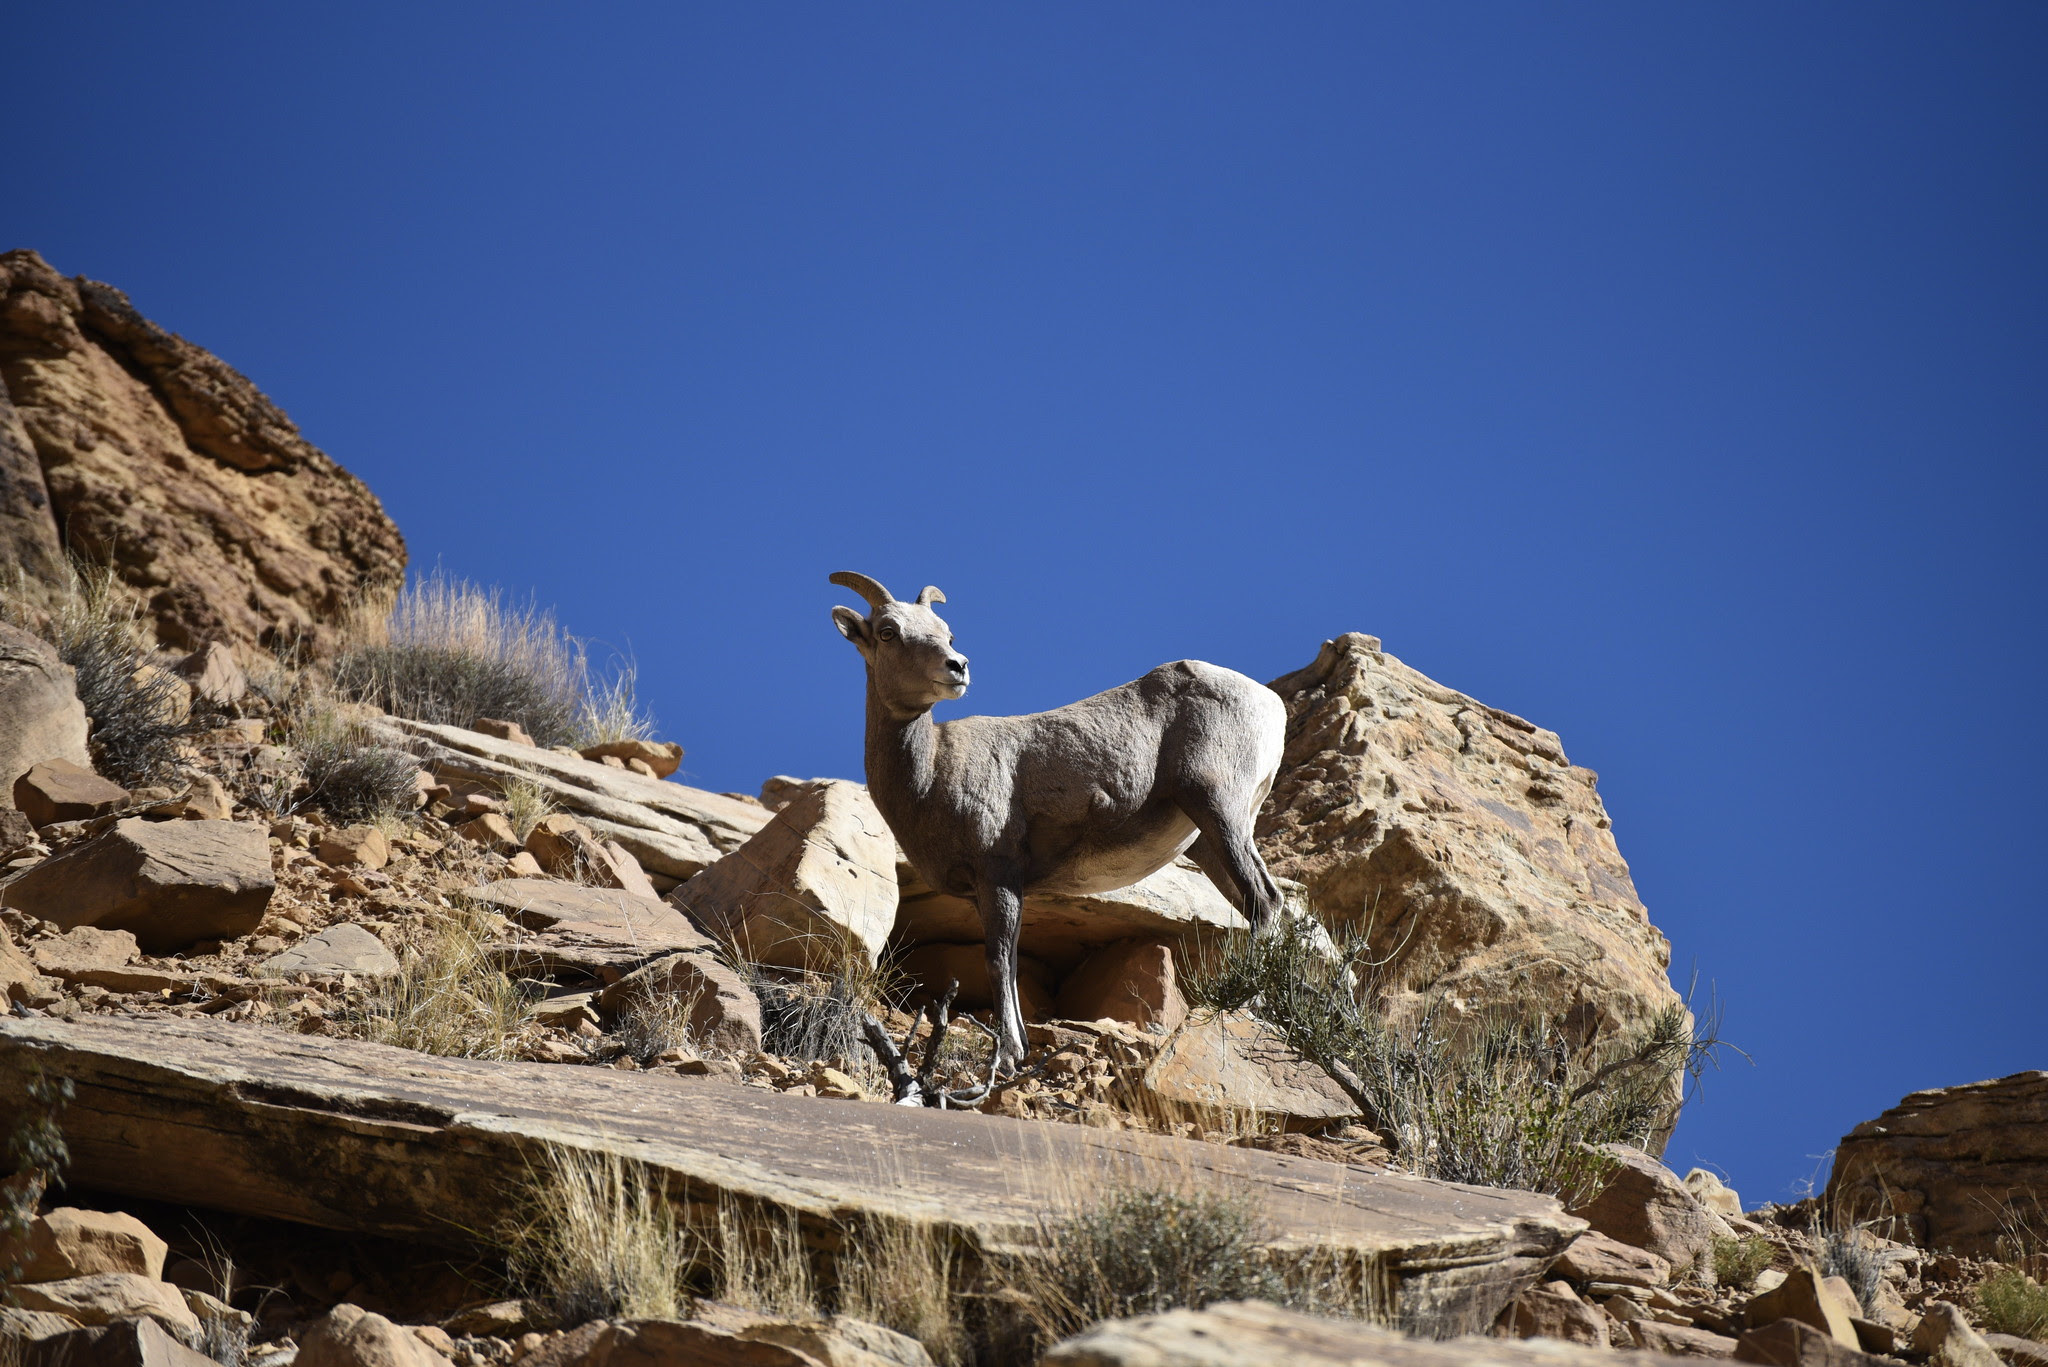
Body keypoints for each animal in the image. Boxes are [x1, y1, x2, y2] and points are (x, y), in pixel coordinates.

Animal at [827, 569, 1277, 1065]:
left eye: (947, 633)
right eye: (888, 632)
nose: (957, 666)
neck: (930, 772)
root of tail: (1269, 702)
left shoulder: (999, 875)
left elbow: (997, 960)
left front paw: (1008, 1054)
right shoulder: (996, 891)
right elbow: (1011, 959)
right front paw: (1020, 1046)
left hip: (1217, 807)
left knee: (1264, 900)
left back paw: (1248, 999)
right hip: (1208, 841)